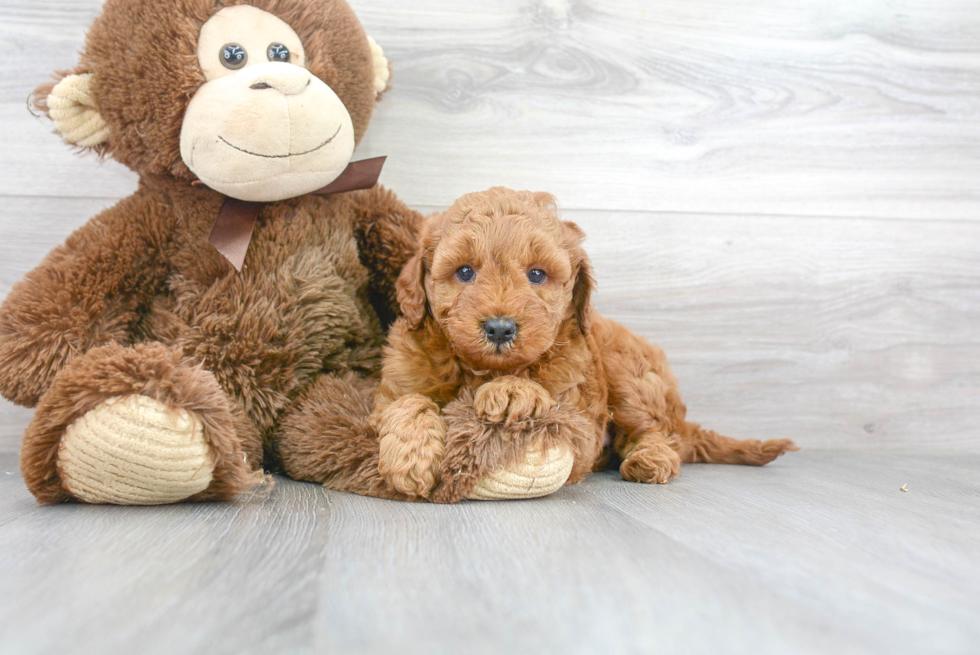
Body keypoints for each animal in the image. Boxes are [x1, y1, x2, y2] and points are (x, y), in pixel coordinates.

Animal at [374, 187, 796, 504]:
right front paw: (410, 460)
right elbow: (408, 402)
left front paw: (513, 391)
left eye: (537, 275)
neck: (480, 368)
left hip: (627, 373)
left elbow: (538, 390)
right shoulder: (396, 382)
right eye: (464, 272)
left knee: (658, 433)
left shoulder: (578, 417)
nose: (499, 329)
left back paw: (650, 459)